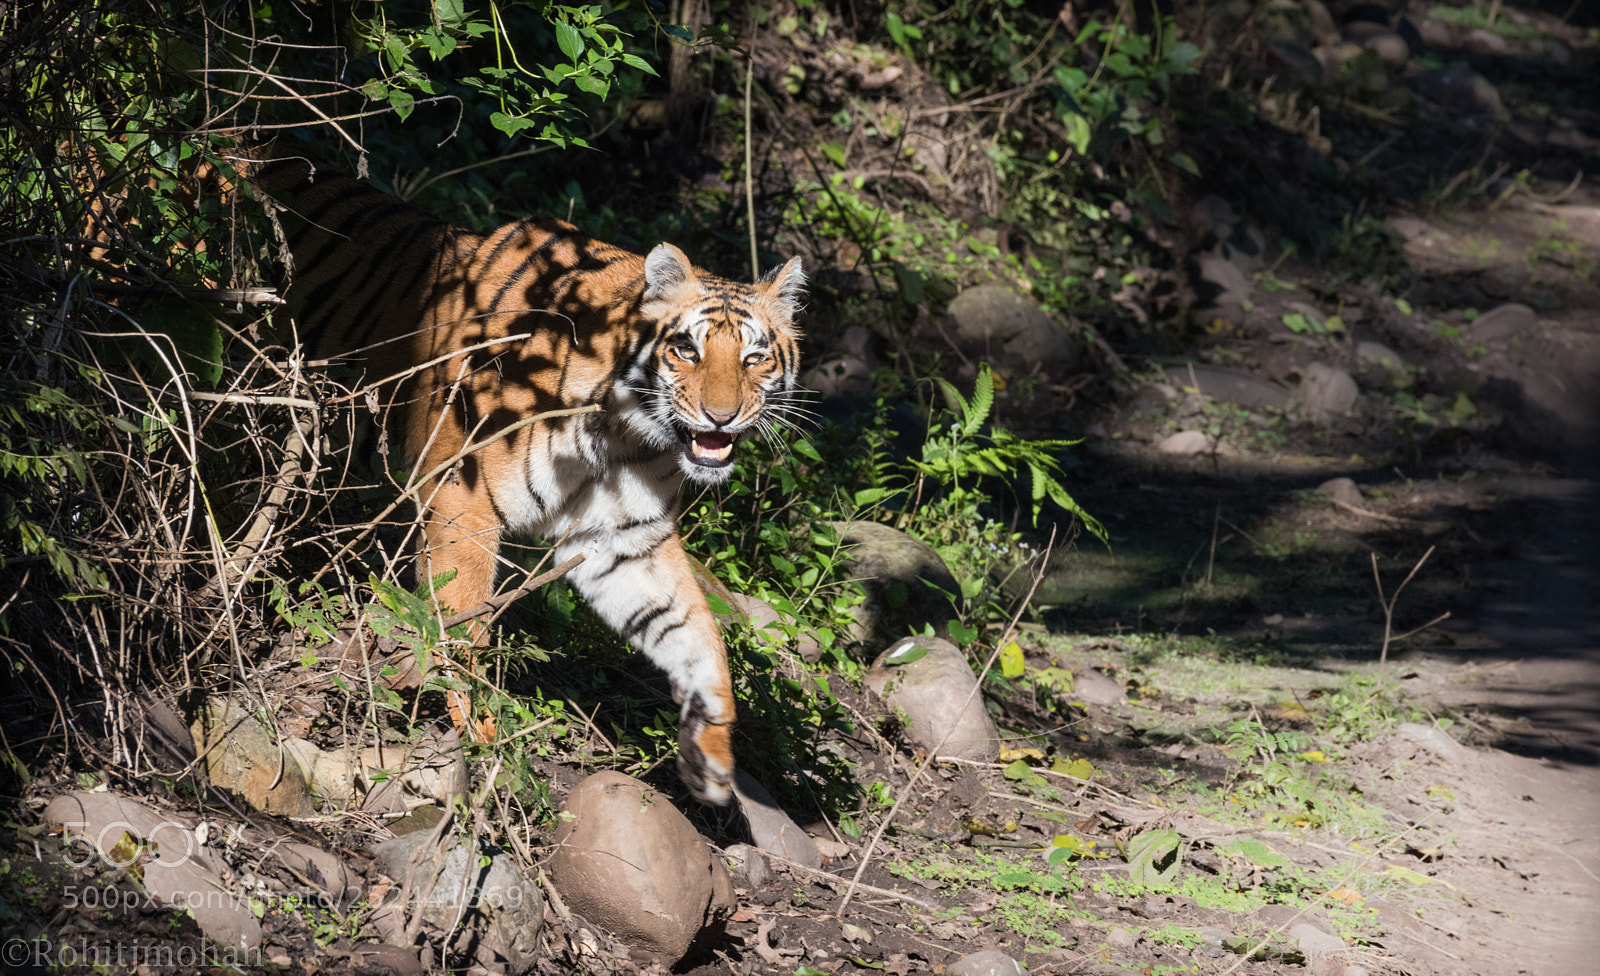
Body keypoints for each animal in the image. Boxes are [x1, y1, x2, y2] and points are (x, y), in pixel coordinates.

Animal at [243, 143, 806, 806]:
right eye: (686, 349)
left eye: (755, 356)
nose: (722, 416)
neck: (621, 432)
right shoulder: (462, 499)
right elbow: (462, 619)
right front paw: (483, 737)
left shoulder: (622, 540)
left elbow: (696, 635)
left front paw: (711, 756)